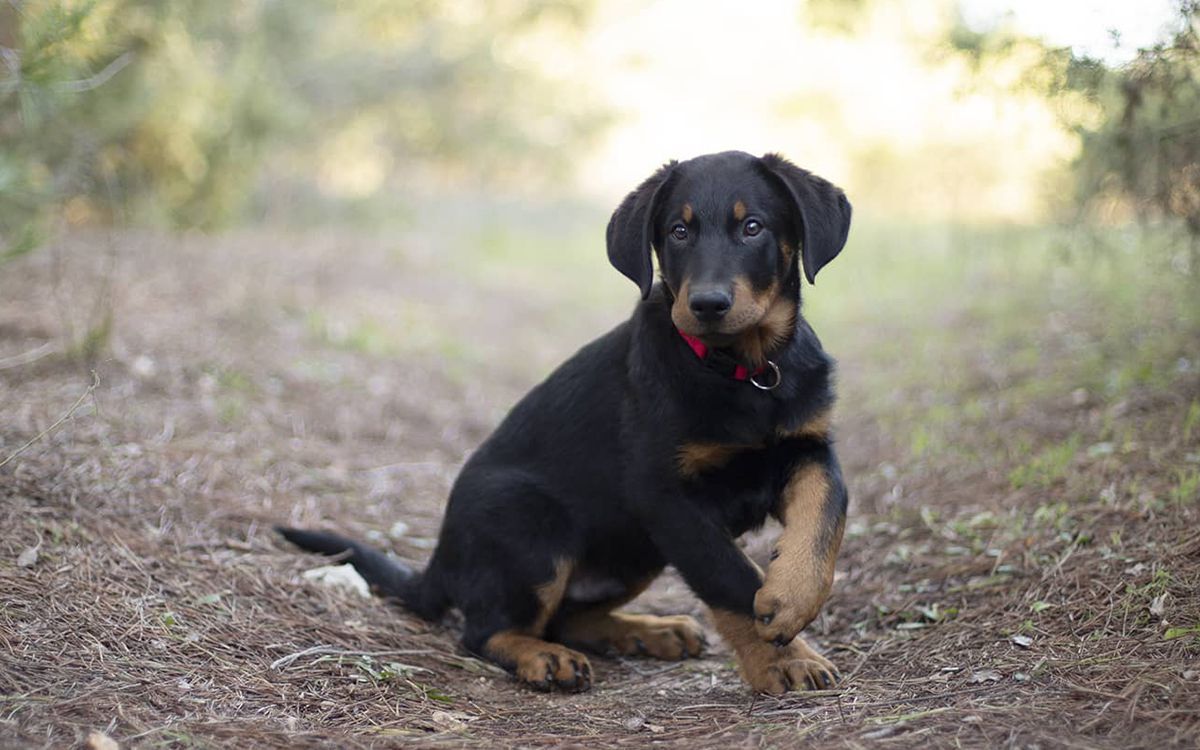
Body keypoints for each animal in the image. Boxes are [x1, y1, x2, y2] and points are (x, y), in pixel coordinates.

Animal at [278, 149, 854, 691]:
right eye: (679, 231)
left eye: (753, 227)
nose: (707, 304)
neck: (744, 371)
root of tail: (441, 559)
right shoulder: (666, 495)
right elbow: (729, 577)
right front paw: (783, 658)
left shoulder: (806, 448)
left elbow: (826, 511)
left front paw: (791, 596)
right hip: (534, 526)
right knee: (488, 630)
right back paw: (546, 658)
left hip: (632, 552)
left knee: (569, 617)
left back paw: (652, 630)